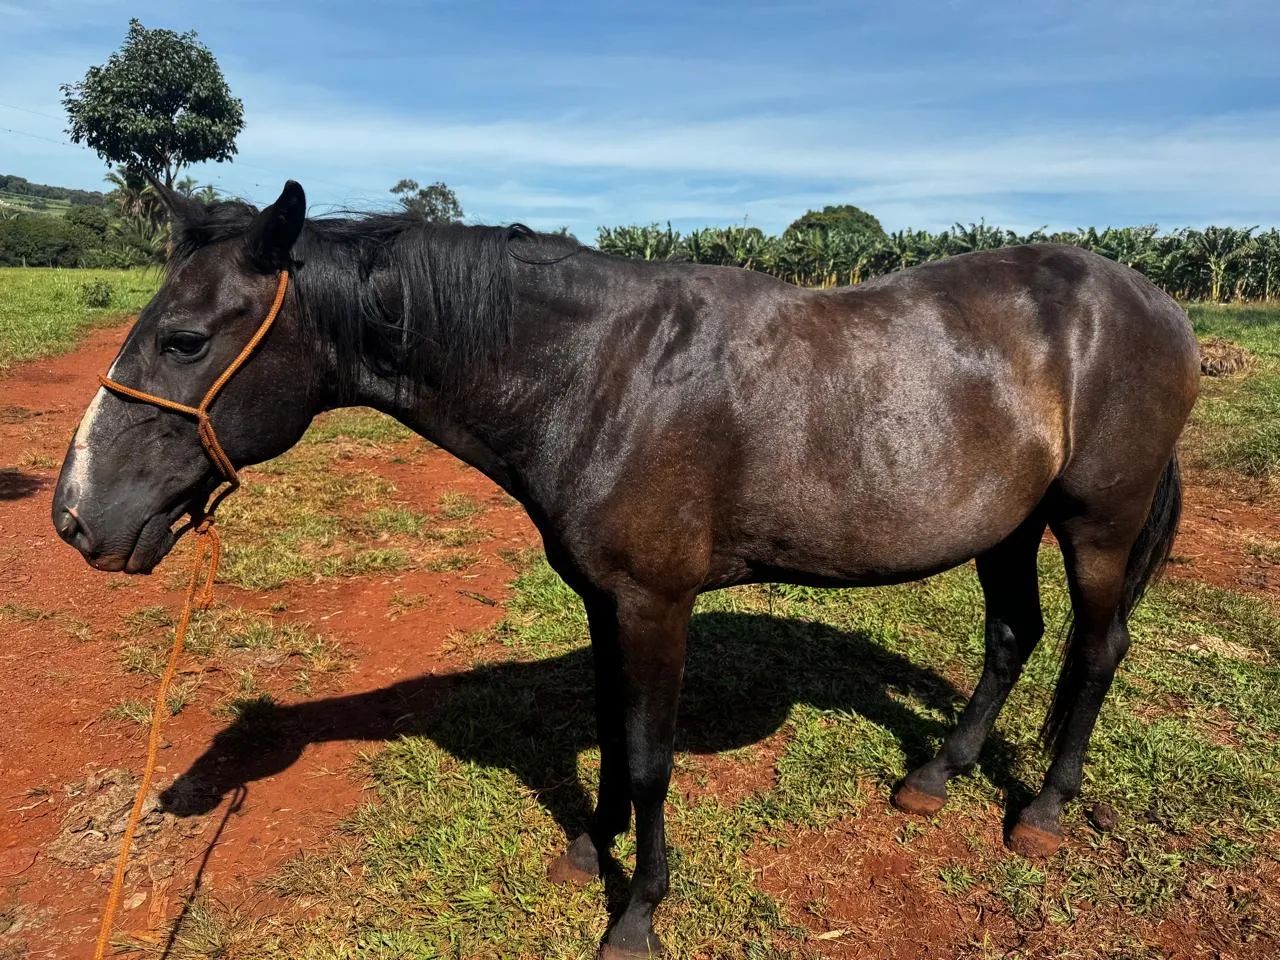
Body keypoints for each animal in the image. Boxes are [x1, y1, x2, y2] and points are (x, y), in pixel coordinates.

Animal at [52, 180, 1199, 959]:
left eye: (184, 339)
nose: (75, 518)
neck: (599, 373)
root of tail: (1152, 301)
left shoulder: (655, 604)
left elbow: (648, 757)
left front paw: (637, 915)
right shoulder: (605, 600)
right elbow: (608, 729)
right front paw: (584, 849)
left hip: (1095, 525)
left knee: (1097, 649)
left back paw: (1042, 812)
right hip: (1004, 524)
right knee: (1013, 635)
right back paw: (933, 778)